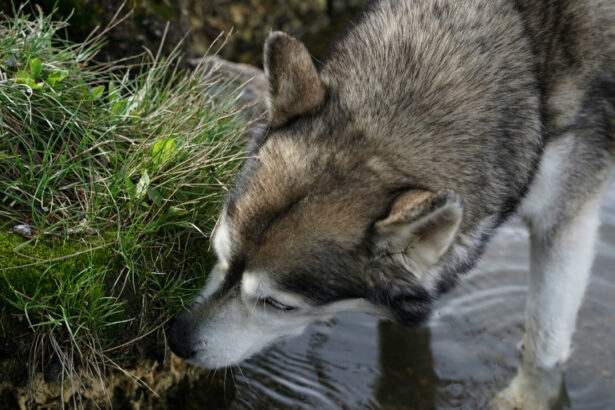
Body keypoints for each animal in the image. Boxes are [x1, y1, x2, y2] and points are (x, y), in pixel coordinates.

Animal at [170, 0, 615, 406]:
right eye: (218, 253)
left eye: (277, 305)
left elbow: (544, 341)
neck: (528, 62)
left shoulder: (567, 219)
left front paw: (526, 398)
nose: (178, 339)